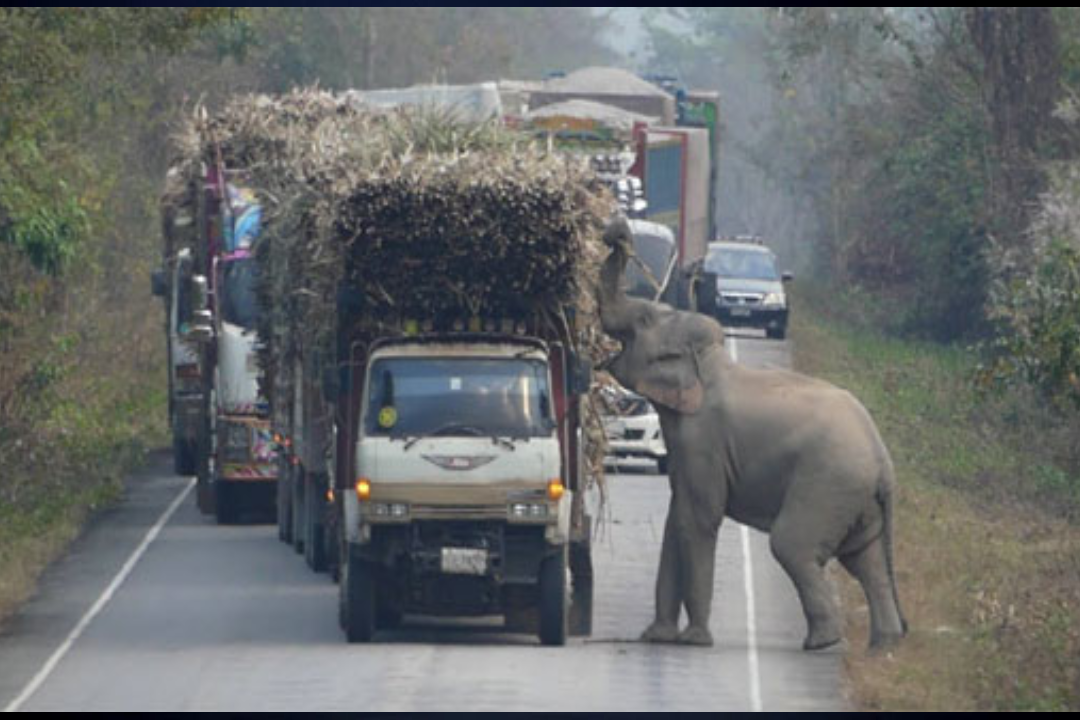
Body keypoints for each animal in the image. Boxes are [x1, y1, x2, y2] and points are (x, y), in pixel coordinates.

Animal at [596, 216, 907, 651]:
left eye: (642, 322)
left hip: (827, 483)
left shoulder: (703, 439)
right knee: (867, 559)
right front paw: (656, 637)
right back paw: (883, 646)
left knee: (793, 545)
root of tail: (884, 463)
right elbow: (677, 519)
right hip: (857, 498)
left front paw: (694, 641)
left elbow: (698, 519)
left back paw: (822, 642)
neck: (709, 362)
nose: (616, 230)